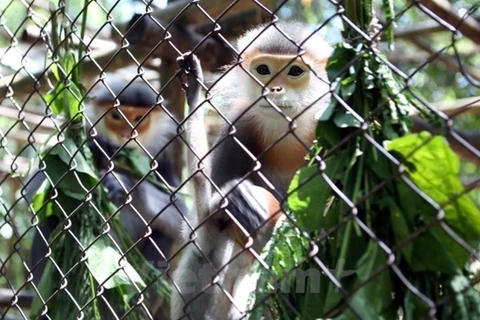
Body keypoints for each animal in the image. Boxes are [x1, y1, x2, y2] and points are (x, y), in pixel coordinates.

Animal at [172, 21, 334, 318]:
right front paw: (195, 90)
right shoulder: (237, 127)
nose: (274, 89)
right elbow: (205, 225)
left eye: (295, 71)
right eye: (263, 70)